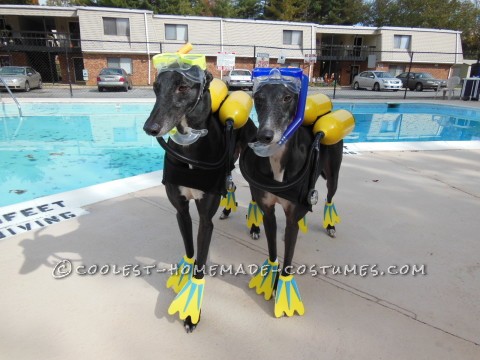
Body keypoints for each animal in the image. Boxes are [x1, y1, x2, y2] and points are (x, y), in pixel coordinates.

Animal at [142, 67, 256, 332]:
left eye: (182, 87)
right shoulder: (181, 211)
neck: (190, 150)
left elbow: (201, 263)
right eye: (156, 87)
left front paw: (191, 312)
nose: (150, 128)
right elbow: (190, 249)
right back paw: (227, 209)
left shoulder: (205, 220)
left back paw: (255, 227)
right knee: (230, 182)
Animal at [238, 75, 344, 316]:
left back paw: (331, 226)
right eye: (258, 97)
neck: (277, 162)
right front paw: (271, 284)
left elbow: (288, 256)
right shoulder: (268, 211)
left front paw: (282, 290)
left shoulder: (292, 211)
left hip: (333, 176)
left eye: (287, 97)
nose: (265, 136)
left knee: (329, 197)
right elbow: (273, 251)